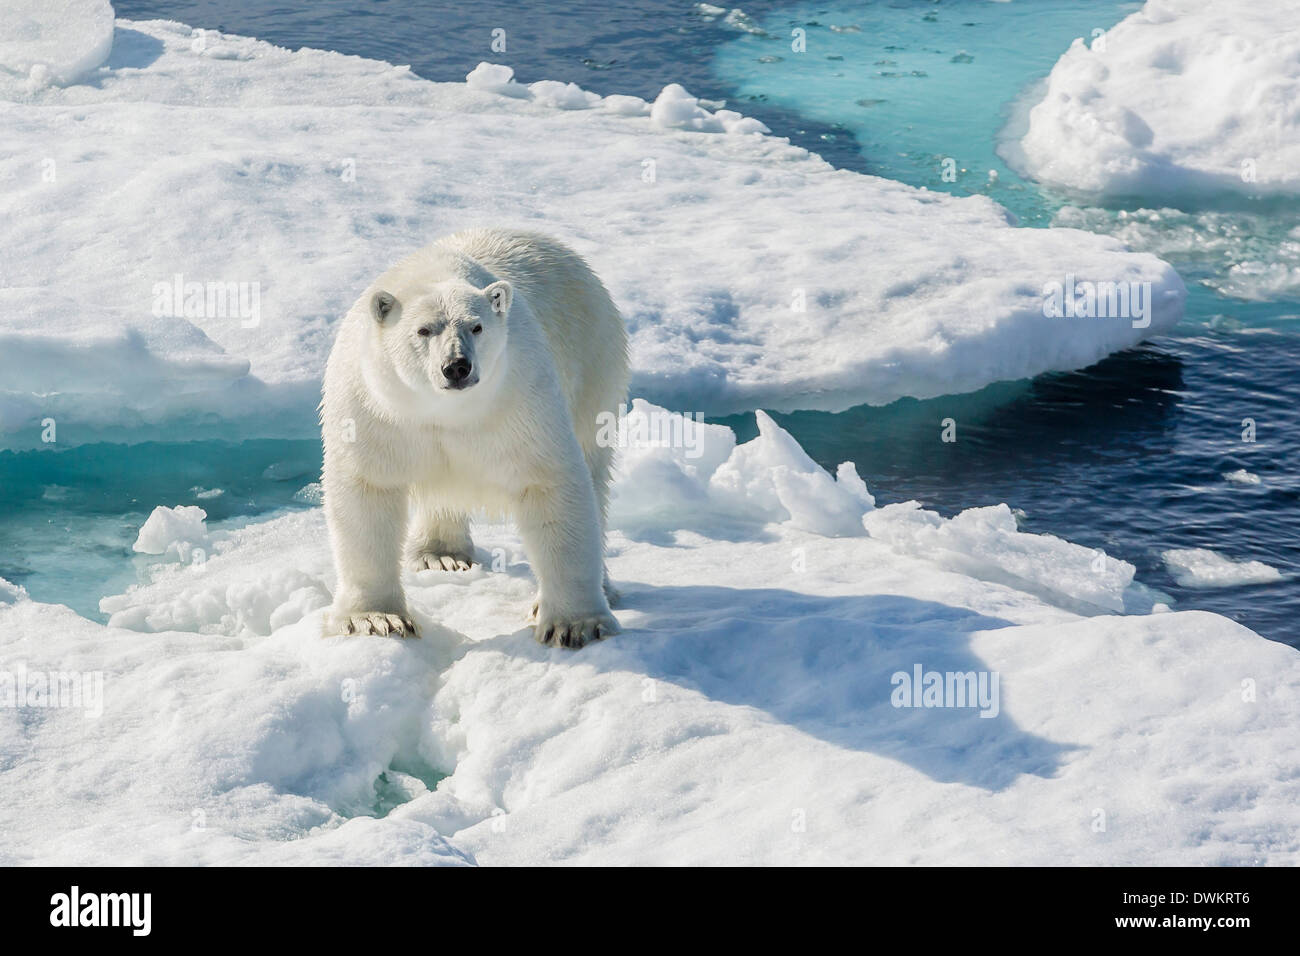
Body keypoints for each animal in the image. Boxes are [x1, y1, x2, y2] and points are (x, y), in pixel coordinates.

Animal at [322, 230, 631, 650]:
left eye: (477, 327)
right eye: (424, 330)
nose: (456, 366)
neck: (442, 409)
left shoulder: (519, 395)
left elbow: (549, 481)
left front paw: (574, 625)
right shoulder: (372, 408)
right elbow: (367, 488)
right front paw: (374, 619)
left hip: (595, 366)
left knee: (594, 470)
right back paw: (440, 555)